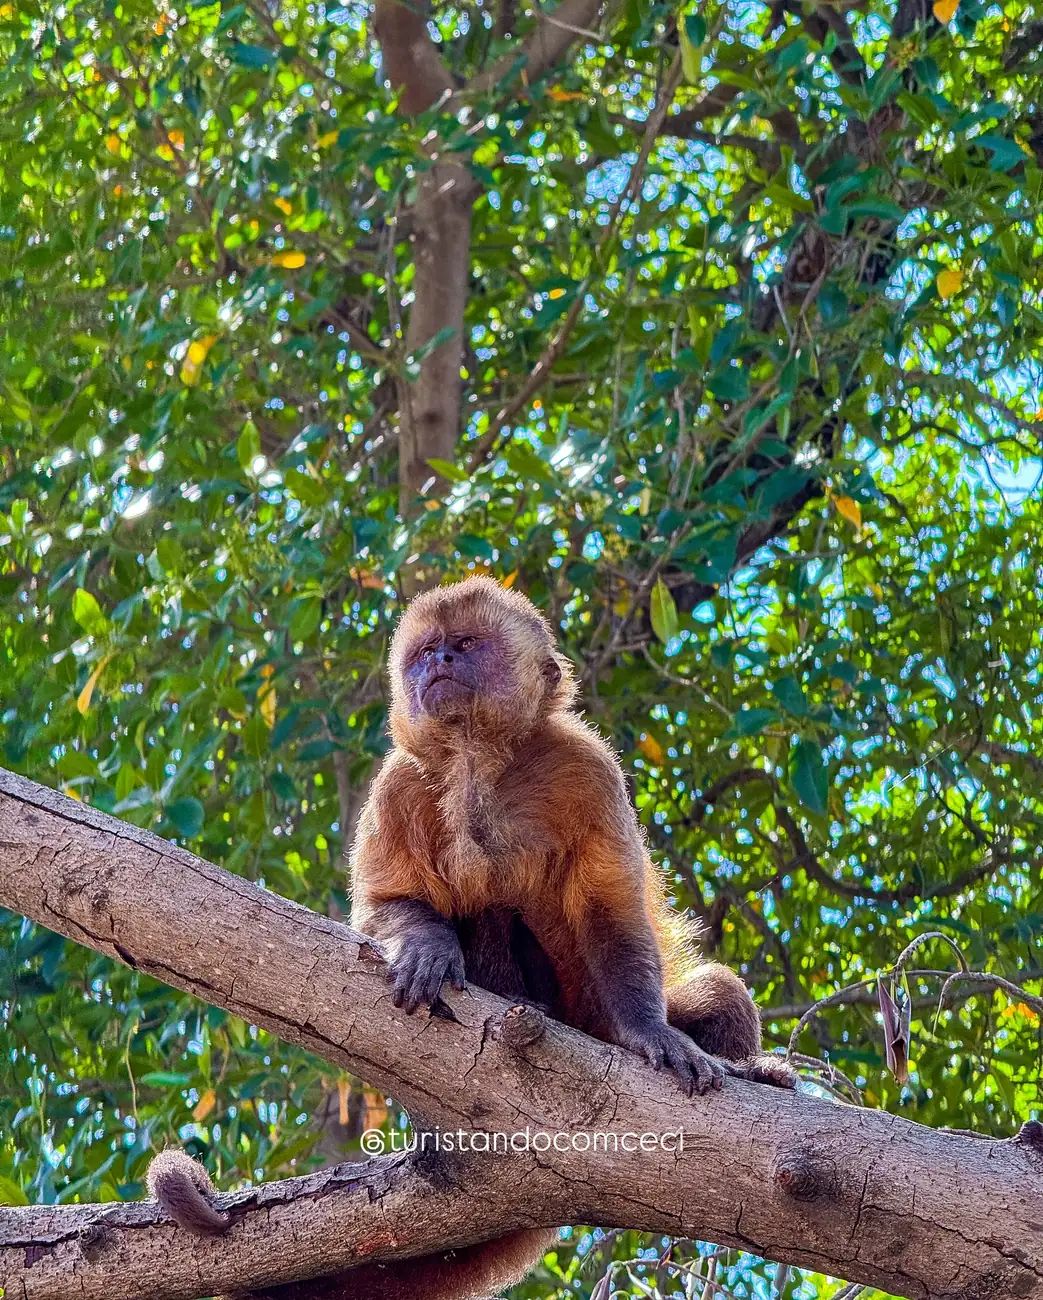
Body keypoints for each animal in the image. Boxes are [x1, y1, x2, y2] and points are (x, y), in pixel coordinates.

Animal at [148, 575, 794, 1299]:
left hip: (591, 1013)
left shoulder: (586, 766)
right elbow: (388, 902)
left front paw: (650, 1033)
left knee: (716, 991)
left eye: (465, 644)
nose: (440, 663)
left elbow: (611, 913)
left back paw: (749, 1070)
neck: (477, 760)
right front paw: (426, 946)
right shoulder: (397, 783)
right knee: (489, 906)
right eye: (425, 651)